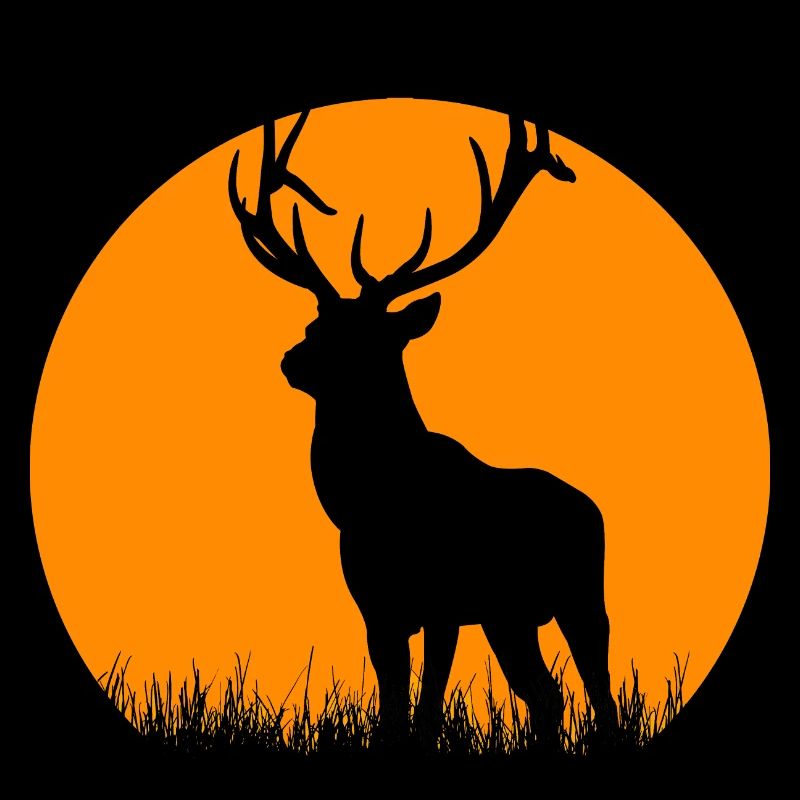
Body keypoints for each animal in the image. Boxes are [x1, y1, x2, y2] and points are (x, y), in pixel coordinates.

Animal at [229, 109, 618, 747]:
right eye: (316, 324)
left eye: (369, 337)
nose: (291, 360)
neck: (369, 503)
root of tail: (591, 506)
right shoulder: (376, 607)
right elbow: (392, 711)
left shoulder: (443, 603)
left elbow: (429, 710)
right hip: (509, 616)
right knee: (546, 695)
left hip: (581, 593)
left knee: (599, 691)